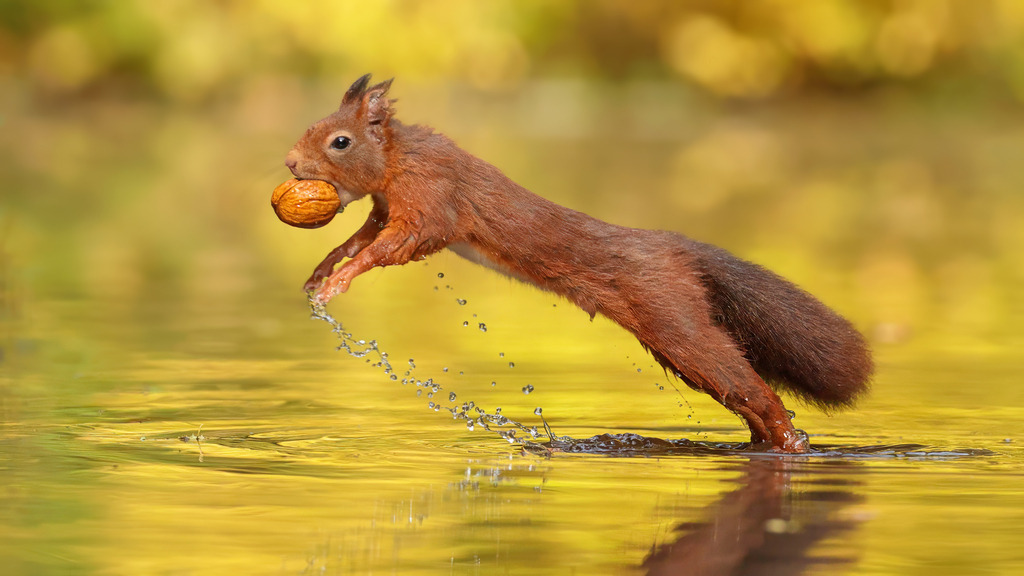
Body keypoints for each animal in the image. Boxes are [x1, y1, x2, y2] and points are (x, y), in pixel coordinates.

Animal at [284, 74, 873, 453]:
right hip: (675, 345)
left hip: (675, 321)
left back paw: (790, 441)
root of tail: (678, 248)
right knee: (745, 399)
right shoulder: (385, 208)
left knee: (755, 391)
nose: (290, 163)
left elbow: (399, 245)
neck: (400, 155)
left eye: (339, 141)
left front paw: (339, 283)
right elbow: (360, 239)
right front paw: (323, 270)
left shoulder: (431, 198)